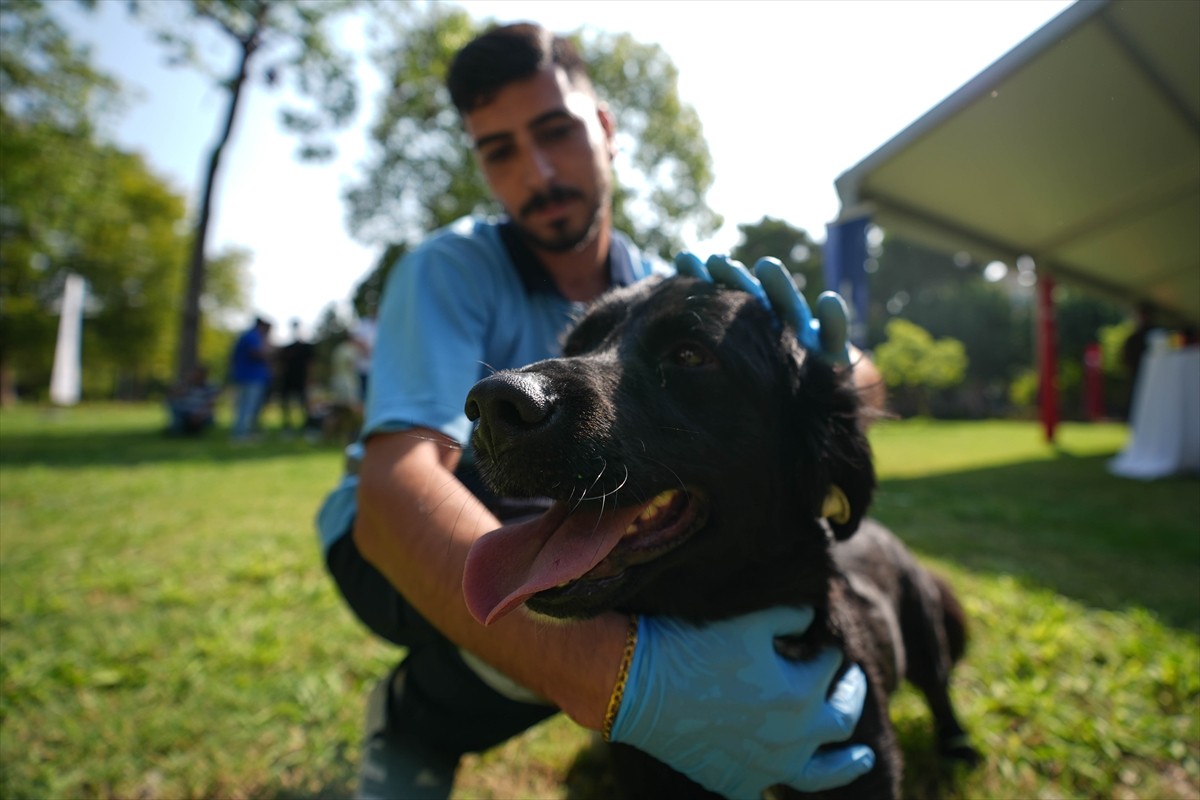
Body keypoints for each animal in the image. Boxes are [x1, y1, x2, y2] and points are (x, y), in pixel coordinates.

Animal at [458, 277, 974, 800]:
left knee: (939, 688)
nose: (492, 404)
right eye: (575, 346)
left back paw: (959, 748)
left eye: (689, 355)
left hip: (924, 627)